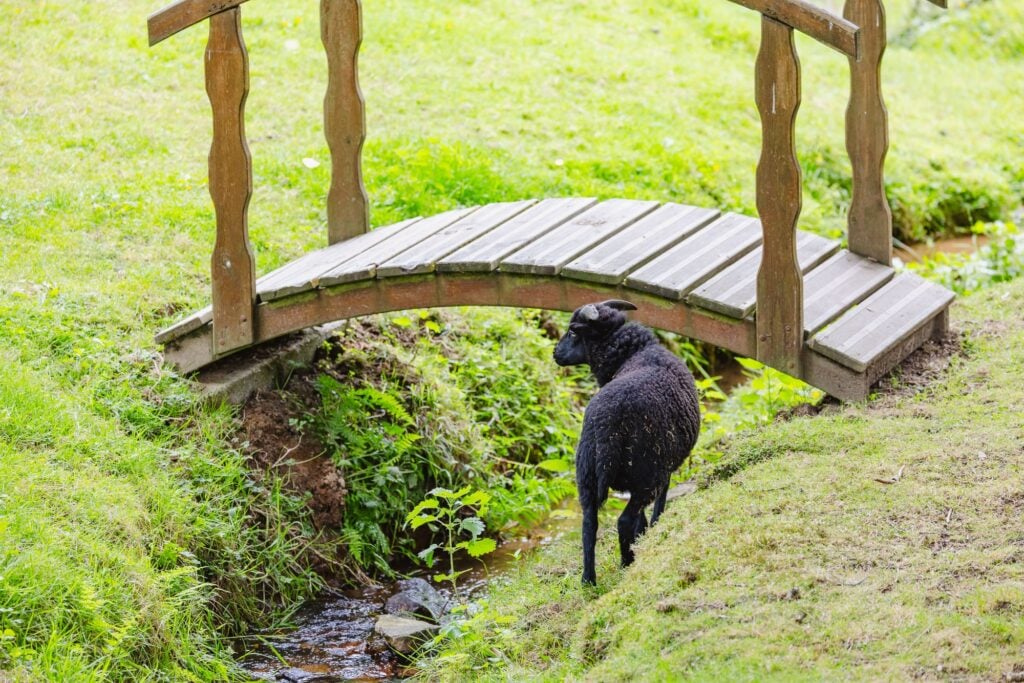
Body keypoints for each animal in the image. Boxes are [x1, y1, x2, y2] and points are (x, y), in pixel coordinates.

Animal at [553, 299, 701, 585]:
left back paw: (589, 580)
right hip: (646, 472)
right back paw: (626, 562)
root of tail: (606, 429)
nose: (555, 353)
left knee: (589, 525)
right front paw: (651, 531)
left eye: (574, 331)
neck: (637, 353)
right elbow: (658, 506)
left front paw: (642, 535)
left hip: (587, 475)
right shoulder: (663, 469)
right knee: (623, 520)